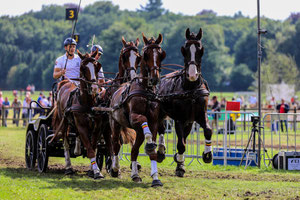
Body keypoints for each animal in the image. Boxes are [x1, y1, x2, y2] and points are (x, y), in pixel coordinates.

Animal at [52, 49, 106, 178]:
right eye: (83, 68)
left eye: (96, 66)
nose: (95, 87)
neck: (88, 103)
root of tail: (65, 82)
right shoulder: (82, 127)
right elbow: (90, 150)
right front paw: (96, 172)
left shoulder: (97, 127)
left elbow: (93, 148)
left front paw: (93, 170)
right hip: (64, 122)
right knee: (66, 143)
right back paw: (68, 167)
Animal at [109, 32, 166, 188]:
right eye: (146, 54)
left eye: (160, 54)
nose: (154, 78)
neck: (146, 90)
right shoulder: (134, 117)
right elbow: (143, 120)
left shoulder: (154, 122)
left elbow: (151, 149)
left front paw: (156, 178)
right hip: (114, 123)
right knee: (115, 143)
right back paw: (115, 168)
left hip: (137, 131)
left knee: (134, 150)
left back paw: (135, 175)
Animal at [157, 27, 213, 177]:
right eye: (185, 49)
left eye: (200, 49)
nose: (192, 74)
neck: (191, 89)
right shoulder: (179, 119)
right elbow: (181, 145)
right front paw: (180, 164)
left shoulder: (199, 115)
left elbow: (208, 130)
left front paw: (207, 154)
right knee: (161, 129)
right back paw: (160, 151)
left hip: (189, 121)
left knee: (184, 136)